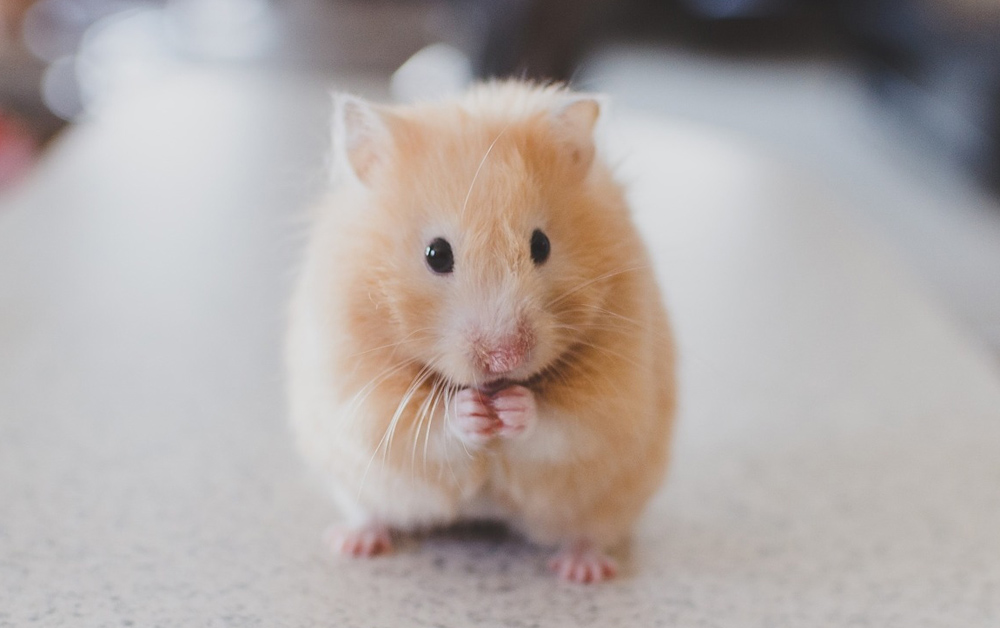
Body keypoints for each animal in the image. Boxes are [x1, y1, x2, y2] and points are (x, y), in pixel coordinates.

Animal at [286, 80, 676, 583]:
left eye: (541, 245)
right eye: (436, 254)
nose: (505, 358)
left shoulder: (615, 398)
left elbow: (564, 425)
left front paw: (513, 408)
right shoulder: (359, 393)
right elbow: (424, 427)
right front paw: (472, 411)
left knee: (588, 532)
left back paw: (582, 570)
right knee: (370, 512)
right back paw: (352, 543)